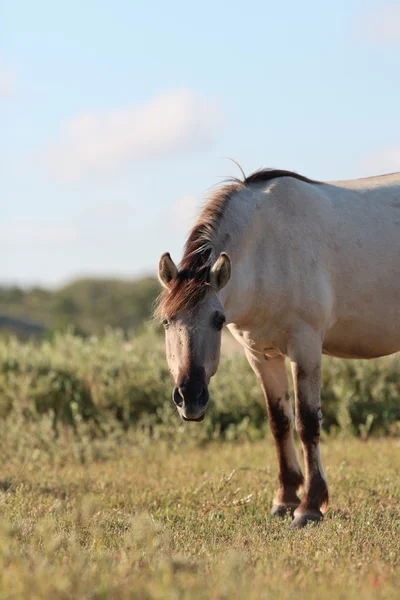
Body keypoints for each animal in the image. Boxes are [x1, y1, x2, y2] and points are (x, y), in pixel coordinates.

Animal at [154, 166, 400, 528]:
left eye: (217, 320)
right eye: (166, 321)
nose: (191, 398)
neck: (268, 249)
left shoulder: (306, 348)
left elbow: (307, 423)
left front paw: (310, 506)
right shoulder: (260, 355)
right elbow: (279, 422)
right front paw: (285, 499)